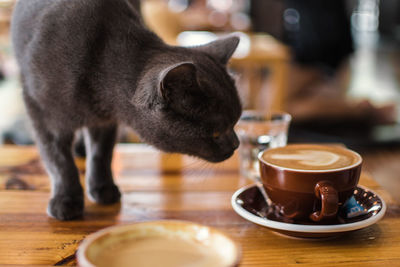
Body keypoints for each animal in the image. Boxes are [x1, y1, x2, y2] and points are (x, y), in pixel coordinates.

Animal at [11, 0, 241, 221]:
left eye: (235, 122)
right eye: (216, 133)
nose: (236, 144)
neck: (98, 63)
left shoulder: (105, 120)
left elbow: (101, 153)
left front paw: (102, 188)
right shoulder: (42, 112)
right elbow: (58, 160)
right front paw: (66, 200)